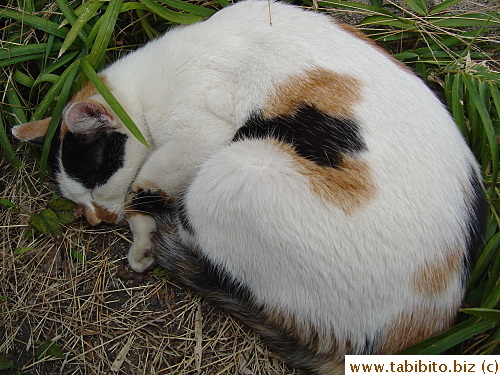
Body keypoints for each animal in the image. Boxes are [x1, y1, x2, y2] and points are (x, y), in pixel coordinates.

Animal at [13, 1, 486, 374]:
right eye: (77, 202)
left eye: (95, 181)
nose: (97, 219)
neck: (150, 82)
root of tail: (417, 331)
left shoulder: (197, 136)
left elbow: (142, 188)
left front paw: (140, 239)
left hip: (231, 170)